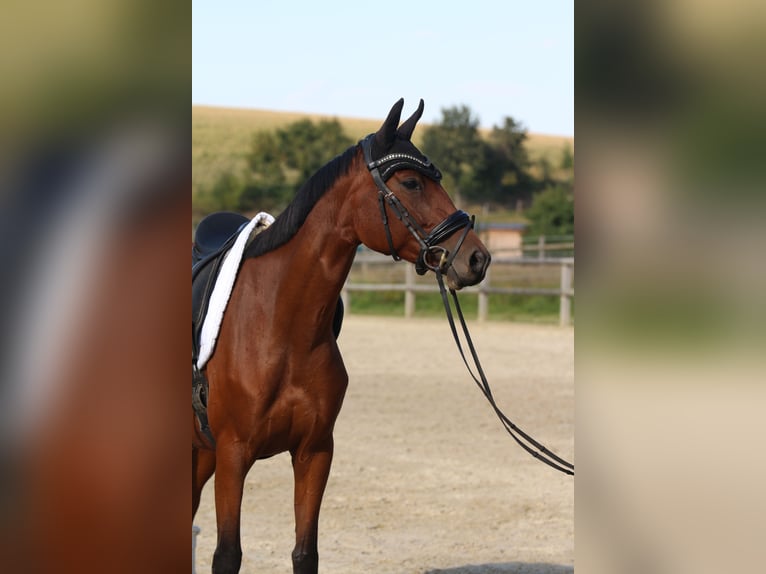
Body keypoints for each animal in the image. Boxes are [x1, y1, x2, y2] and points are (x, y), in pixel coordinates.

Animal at [192, 98, 491, 574]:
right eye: (410, 182)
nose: (477, 259)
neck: (280, 327)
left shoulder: (314, 453)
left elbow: (305, 552)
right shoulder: (233, 455)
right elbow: (227, 554)